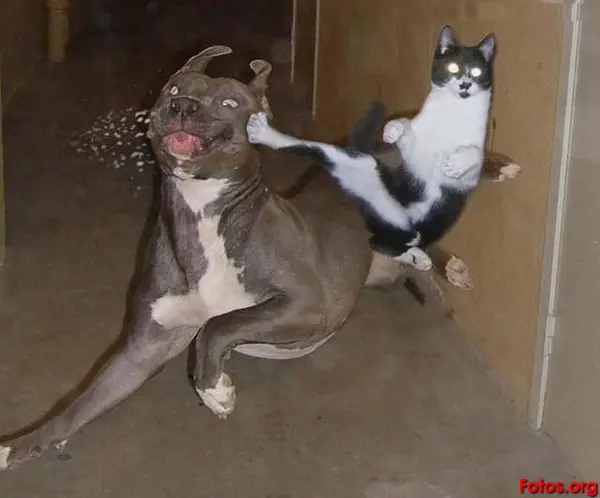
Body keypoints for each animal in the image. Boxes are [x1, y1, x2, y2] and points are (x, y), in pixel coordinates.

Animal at [246, 25, 496, 271]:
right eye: (453, 67)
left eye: (476, 71)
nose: (465, 84)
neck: (453, 111)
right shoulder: (413, 147)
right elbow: (404, 124)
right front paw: (392, 130)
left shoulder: (469, 177)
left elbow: (477, 153)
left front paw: (456, 163)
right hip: (360, 167)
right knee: (311, 149)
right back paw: (263, 132)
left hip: (413, 226)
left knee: (384, 243)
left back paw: (419, 257)